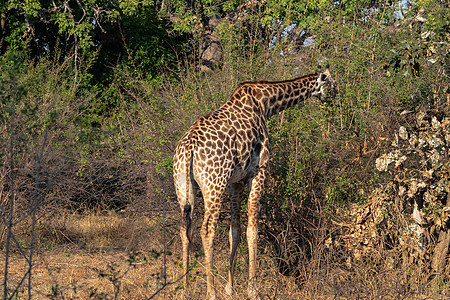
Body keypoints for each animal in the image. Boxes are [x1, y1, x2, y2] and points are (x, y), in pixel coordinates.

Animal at [172, 64, 334, 298]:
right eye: (331, 81)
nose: (335, 95)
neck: (266, 104)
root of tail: (189, 147)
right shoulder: (259, 171)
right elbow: (252, 230)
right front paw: (252, 290)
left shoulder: (235, 181)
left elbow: (235, 231)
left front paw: (230, 289)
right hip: (214, 184)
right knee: (207, 230)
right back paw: (211, 293)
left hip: (183, 186)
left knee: (185, 229)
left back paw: (184, 290)